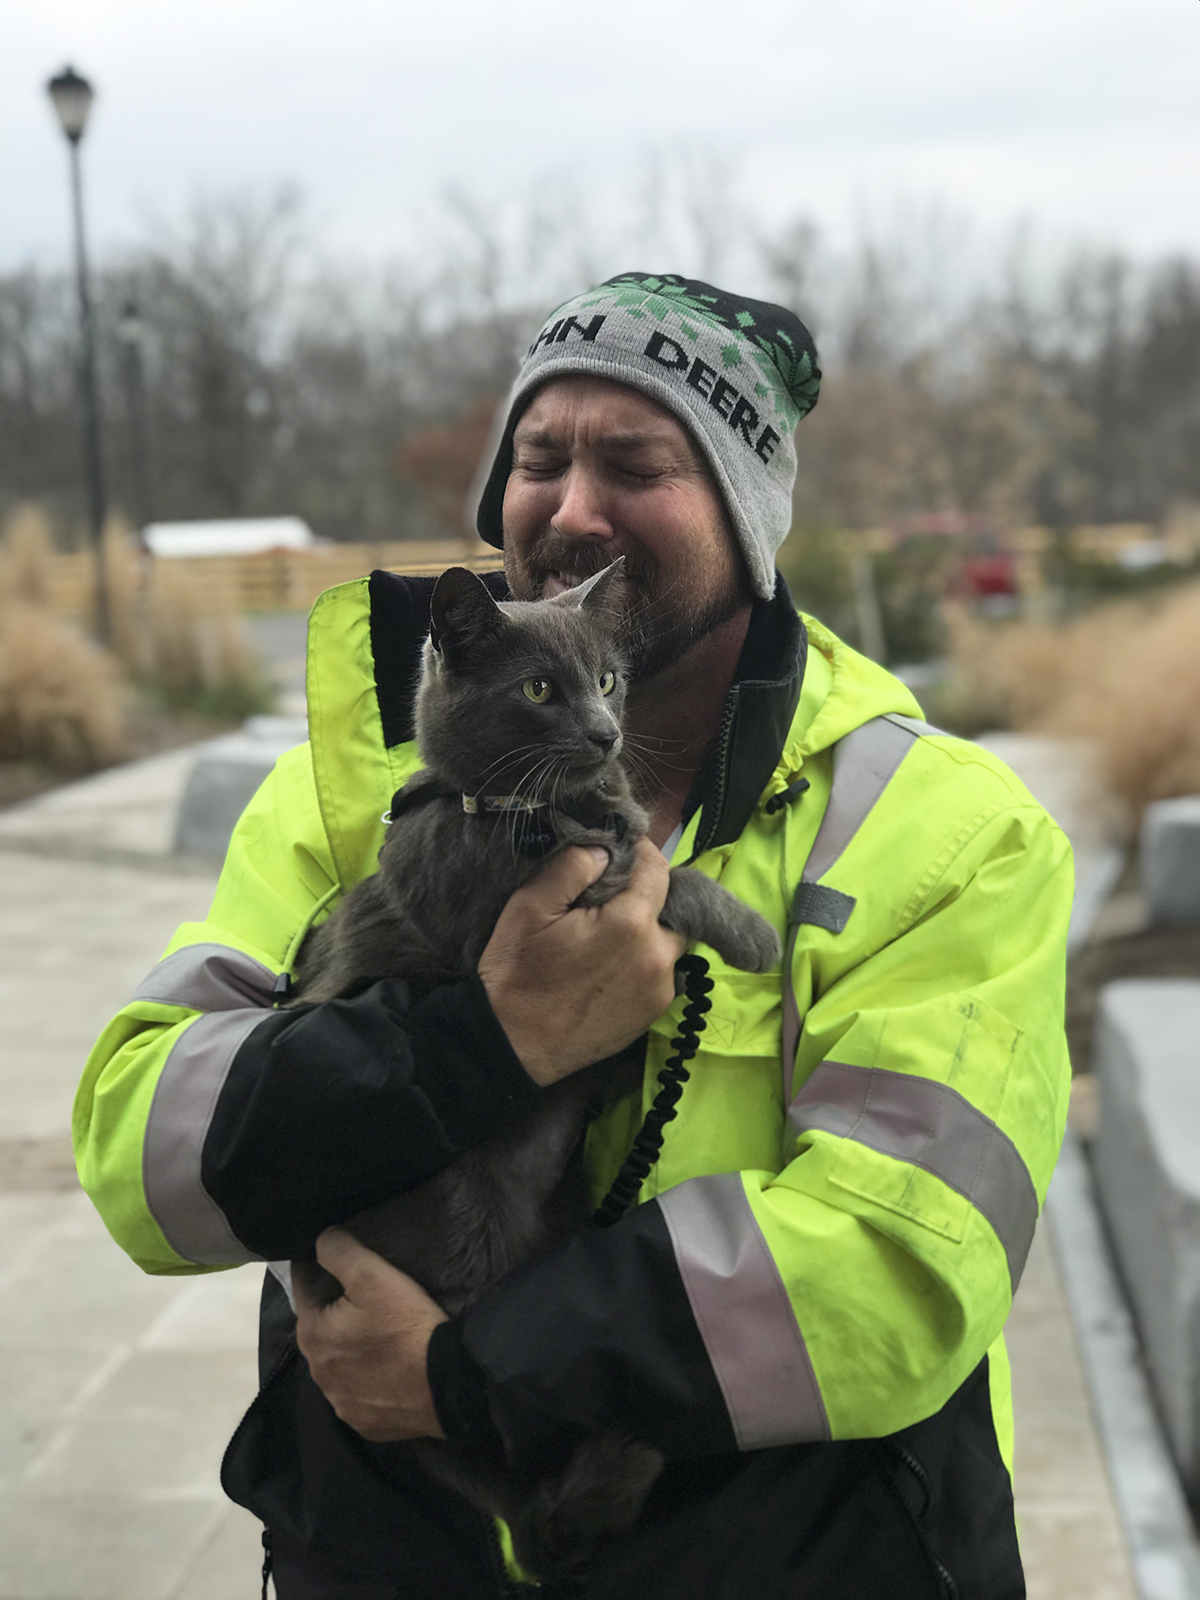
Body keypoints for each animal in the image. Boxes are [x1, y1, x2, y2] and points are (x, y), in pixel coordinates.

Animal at [289, 560, 781, 1581]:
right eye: (540, 690)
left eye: (608, 680)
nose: (605, 733)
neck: (536, 810)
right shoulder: (526, 910)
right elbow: (664, 873)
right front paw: (753, 931)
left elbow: (648, 856)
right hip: (452, 1227)